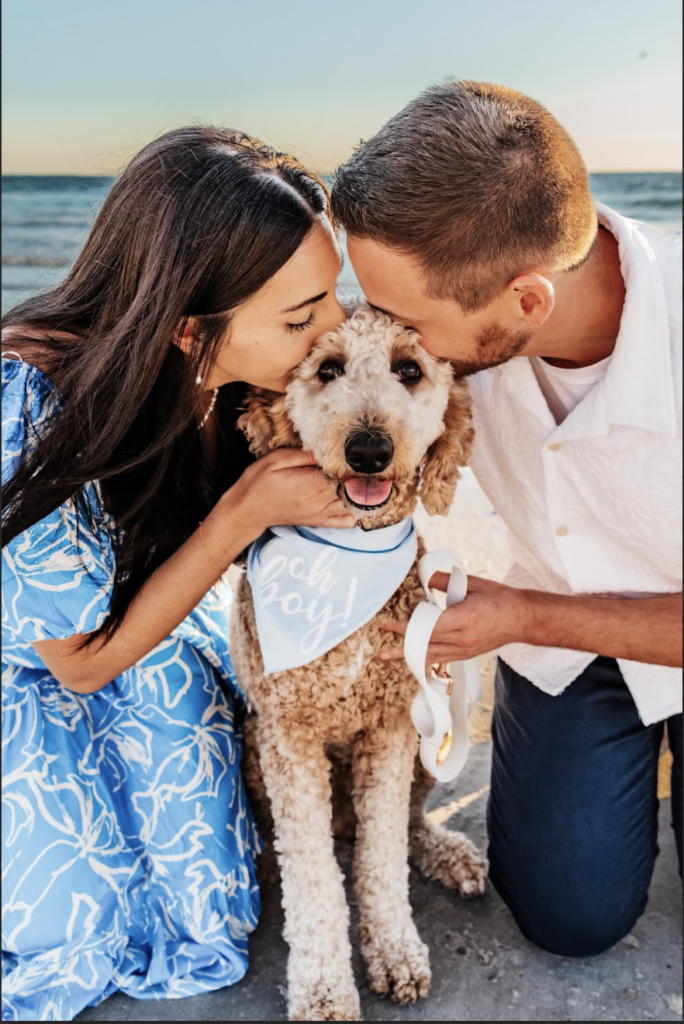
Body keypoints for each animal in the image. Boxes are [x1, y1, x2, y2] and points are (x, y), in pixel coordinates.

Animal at [229, 303, 485, 1024]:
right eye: (327, 369)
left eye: (409, 370)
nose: (369, 448)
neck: (345, 560)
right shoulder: (288, 739)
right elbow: (313, 876)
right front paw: (322, 991)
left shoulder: (392, 731)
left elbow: (381, 857)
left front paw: (394, 950)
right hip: (251, 746)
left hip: (431, 734)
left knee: (407, 824)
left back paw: (448, 852)